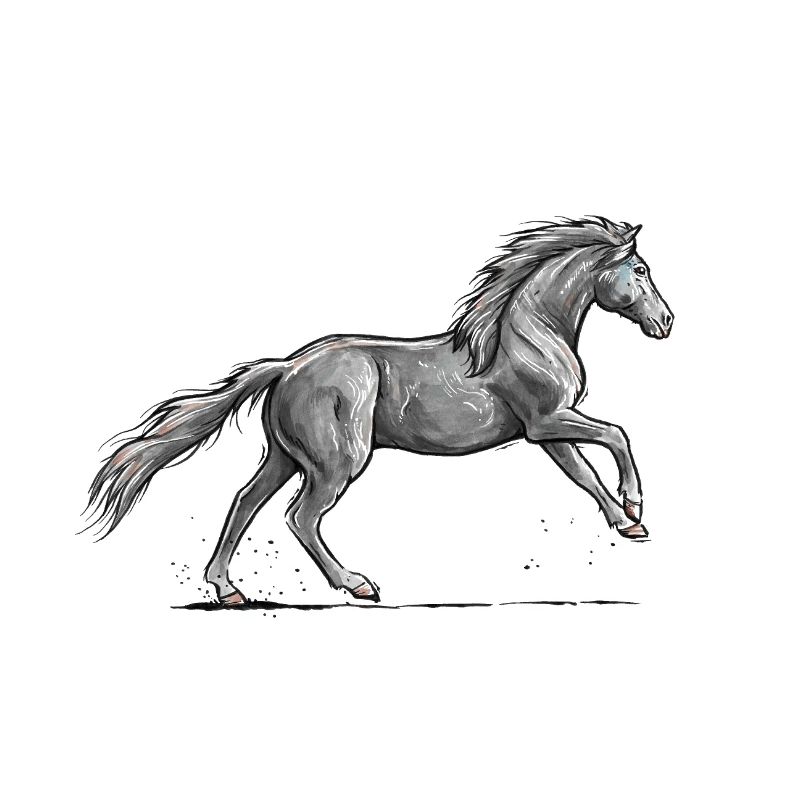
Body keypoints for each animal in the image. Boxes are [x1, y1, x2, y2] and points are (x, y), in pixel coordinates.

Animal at [85, 216, 673, 604]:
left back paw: (228, 589)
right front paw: (635, 505)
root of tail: (287, 367)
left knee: (245, 501)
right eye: (641, 269)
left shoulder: (546, 431)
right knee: (300, 516)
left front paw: (628, 524)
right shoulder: (547, 421)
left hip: (285, 456)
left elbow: (585, 476)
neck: (526, 335)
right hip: (336, 462)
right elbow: (617, 434)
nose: (666, 322)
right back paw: (357, 585)